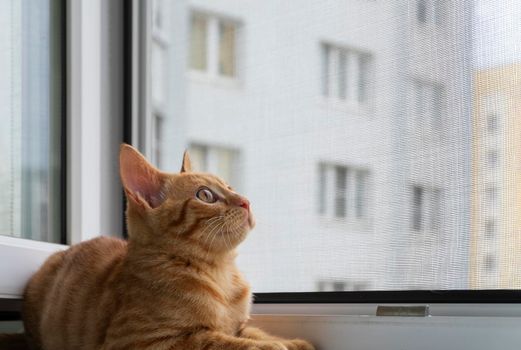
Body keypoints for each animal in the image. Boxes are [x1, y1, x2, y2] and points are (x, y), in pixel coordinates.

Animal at [20, 144, 312, 348]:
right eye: (206, 195)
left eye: (230, 186)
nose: (246, 201)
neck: (221, 273)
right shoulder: (140, 341)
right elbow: (213, 340)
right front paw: (269, 347)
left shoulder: (238, 325)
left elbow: (253, 331)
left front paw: (290, 342)